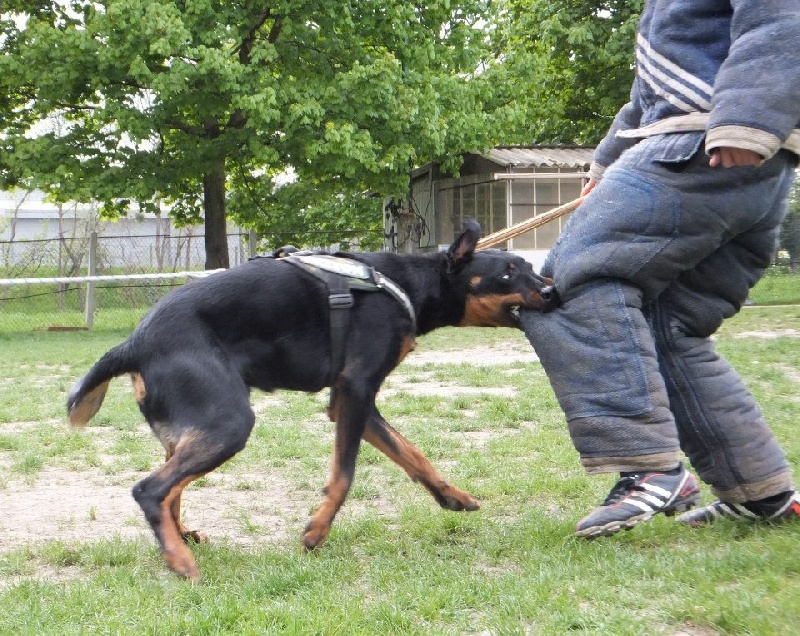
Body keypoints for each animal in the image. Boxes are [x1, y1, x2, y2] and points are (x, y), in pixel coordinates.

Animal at [67, 220, 556, 580]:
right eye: (509, 271)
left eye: (526, 267)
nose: (551, 289)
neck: (405, 283)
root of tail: (134, 343)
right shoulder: (356, 389)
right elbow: (343, 477)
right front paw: (316, 533)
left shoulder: (351, 401)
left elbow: (412, 454)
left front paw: (451, 497)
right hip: (229, 423)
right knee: (150, 490)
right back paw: (181, 563)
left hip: (194, 427)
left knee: (171, 488)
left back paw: (180, 538)